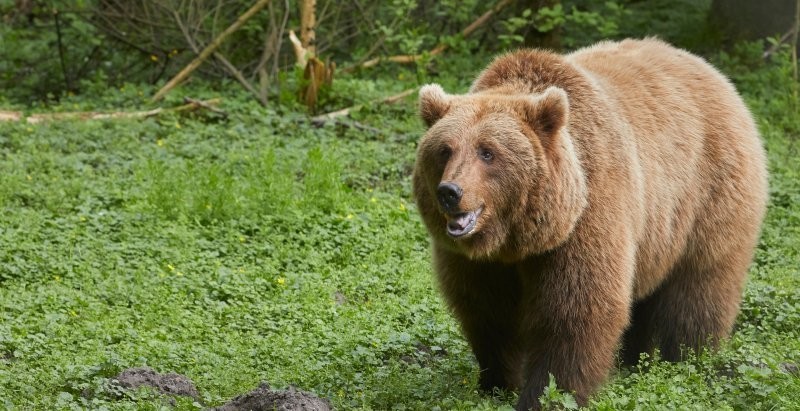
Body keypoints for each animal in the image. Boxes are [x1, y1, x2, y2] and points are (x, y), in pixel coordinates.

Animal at [412, 37, 768, 408]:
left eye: (487, 151)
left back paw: (688, 358)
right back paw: (634, 361)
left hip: (708, 195)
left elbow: (575, 312)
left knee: (698, 287)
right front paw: (496, 382)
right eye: (445, 149)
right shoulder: (478, 262)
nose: (450, 192)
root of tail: (711, 71)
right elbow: (487, 311)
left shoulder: (588, 216)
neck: (517, 239)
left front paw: (548, 394)